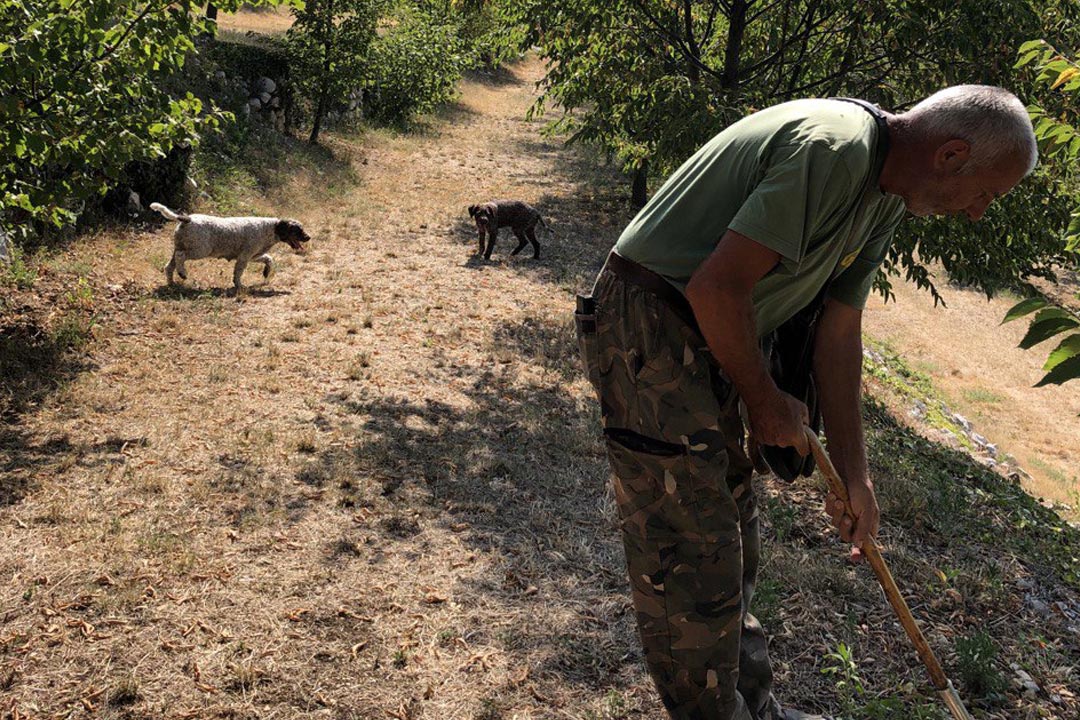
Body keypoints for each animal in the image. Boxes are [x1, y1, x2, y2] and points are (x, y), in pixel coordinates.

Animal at [150, 201, 308, 291]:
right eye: (298, 230)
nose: (309, 237)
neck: (270, 228)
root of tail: (187, 219)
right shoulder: (244, 257)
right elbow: (238, 273)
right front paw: (239, 286)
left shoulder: (253, 256)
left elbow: (269, 259)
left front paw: (266, 272)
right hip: (200, 250)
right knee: (180, 257)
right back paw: (182, 273)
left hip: (180, 248)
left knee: (169, 266)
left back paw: (172, 283)